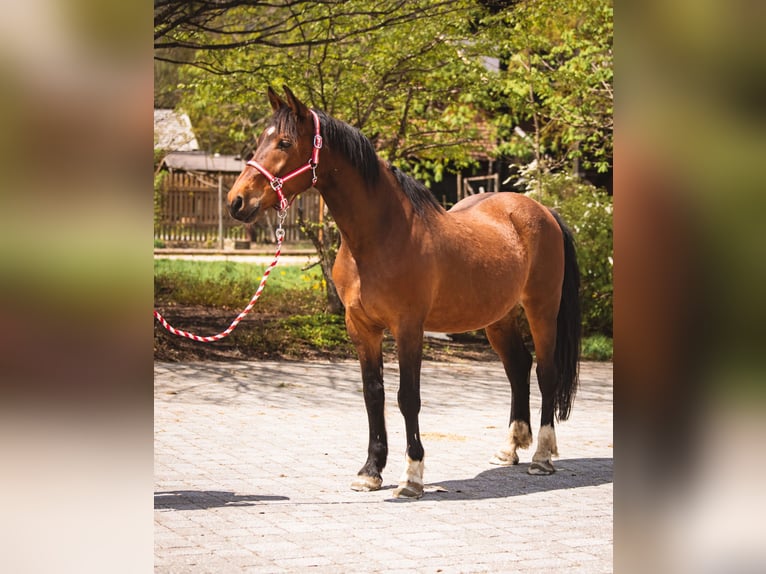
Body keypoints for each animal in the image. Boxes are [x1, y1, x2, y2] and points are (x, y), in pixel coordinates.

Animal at [227, 86, 581, 498]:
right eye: (260, 139)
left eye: (284, 142)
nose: (237, 201)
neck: (381, 236)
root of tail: (541, 211)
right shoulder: (361, 327)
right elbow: (374, 394)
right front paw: (370, 471)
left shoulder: (409, 328)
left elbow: (407, 397)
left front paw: (412, 476)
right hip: (499, 317)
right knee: (518, 368)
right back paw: (510, 448)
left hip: (542, 310)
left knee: (545, 372)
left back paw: (542, 456)